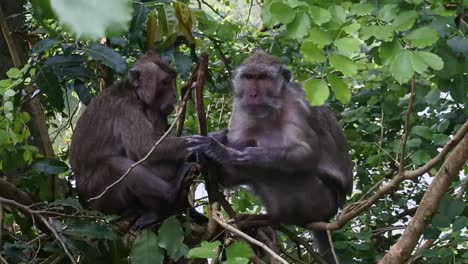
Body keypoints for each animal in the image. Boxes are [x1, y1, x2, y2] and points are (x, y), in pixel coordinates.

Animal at [69, 51, 194, 229]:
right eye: (164, 82)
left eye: (171, 80)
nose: (175, 96)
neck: (133, 94)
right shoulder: (126, 109)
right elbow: (145, 147)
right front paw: (210, 141)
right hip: (102, 200)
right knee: (116, 165)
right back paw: (169, 193)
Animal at [186, 50, 352, 262]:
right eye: (249, 77)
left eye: (263, 77)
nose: (253, 94)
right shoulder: (241, 109)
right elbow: (229, 178)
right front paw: (212, 145)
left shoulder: (296, 105)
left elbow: (305, 154)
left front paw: (222, 151)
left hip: (321, 200)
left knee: (289, 174)